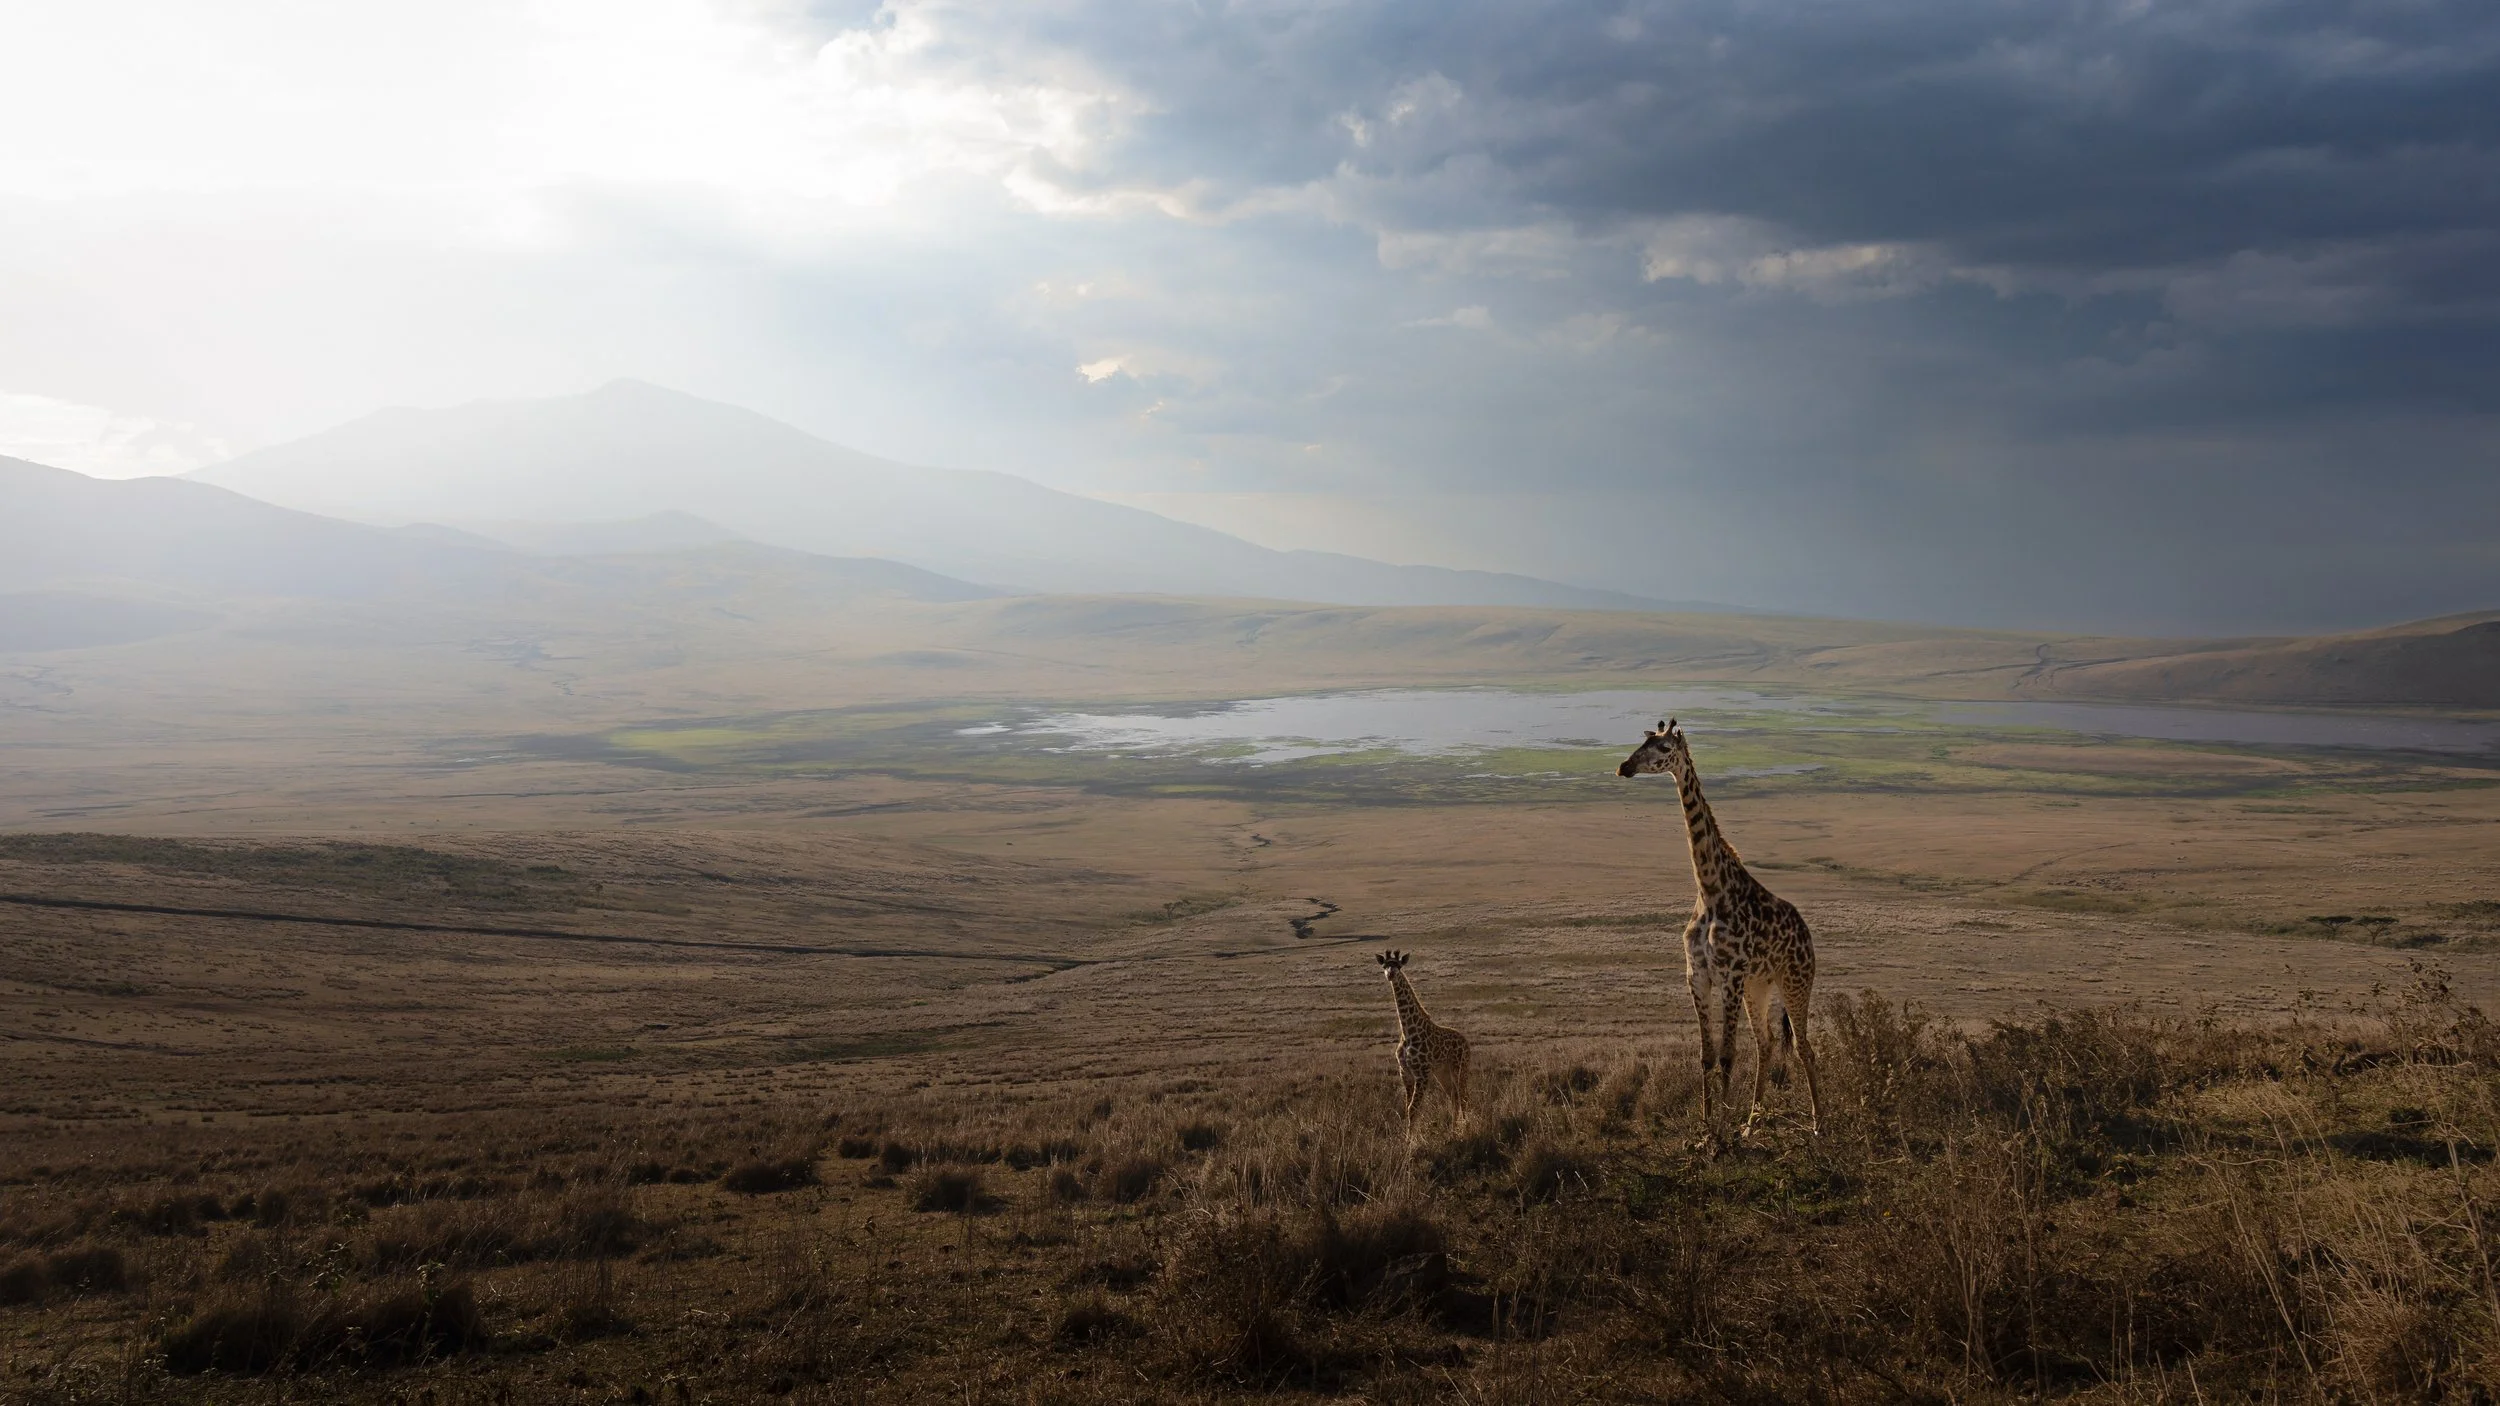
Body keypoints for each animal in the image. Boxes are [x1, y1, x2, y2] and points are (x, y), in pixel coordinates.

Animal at [1375, 950, 1471, 1129]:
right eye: (1384, 965)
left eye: (1398, 965)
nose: (1390, 974)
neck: (1408, 1032)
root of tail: (1466, 1042)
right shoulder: (1405, 1073)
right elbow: (1408, 1108)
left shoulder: (1422, 1074)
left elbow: (1413, 1108)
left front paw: (1411, 1137)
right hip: (1443, 1072)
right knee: (1453, 1096)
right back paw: (1453, 1130)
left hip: (1460, 1068)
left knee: (1463, 1097)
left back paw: (1465, 1128)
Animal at [1618, 719, 1824, 1140]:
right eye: (1641, 742)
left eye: (1663, 748)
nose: (1624, 767)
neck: (1710, 890)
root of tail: (1806, 934)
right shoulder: (1697, 975)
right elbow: (1706, 1056)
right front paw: (1707, 1125)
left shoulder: (1729, 975)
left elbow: (1728, 1056)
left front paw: (1722, 1130)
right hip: (1758, 986)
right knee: (1765, 1044)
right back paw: (1751, 1122)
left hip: (1795, 980)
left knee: (1803, 1047)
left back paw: (1817, 1123)